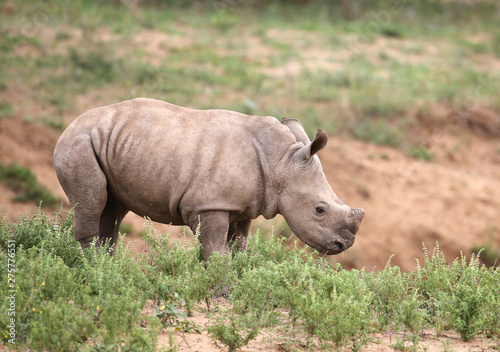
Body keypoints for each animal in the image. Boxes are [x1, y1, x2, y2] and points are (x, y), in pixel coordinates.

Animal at [53, 98, 364, 258]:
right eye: (319, 210)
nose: (344, 245)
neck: (282, 162)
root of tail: (71, 123)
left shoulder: (243, 206)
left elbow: (238, 247)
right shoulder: (209, 204)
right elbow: (216, 249)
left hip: (110, 143)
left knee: (113, 209)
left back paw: (107, 267)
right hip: (79, 142)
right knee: (94, 200)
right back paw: (93, 268)